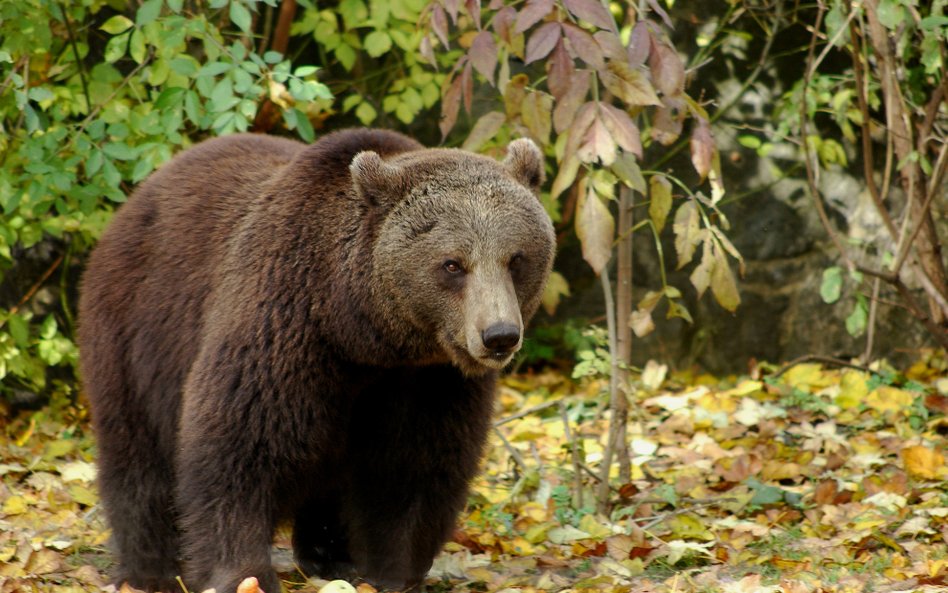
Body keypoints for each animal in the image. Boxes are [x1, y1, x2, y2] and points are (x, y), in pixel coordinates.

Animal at [81, 130, 560, 592]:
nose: (499, 335)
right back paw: (149, 570)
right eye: (453, 264)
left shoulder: (428, 378)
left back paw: (330, 557)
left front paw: (394, 571)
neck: (362, 335)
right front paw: (242, 574)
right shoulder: (283, 324)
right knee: (137, 456)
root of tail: (141, 193)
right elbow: (238, 446)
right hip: (136, 331)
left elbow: (416, 464)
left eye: (516, 258)